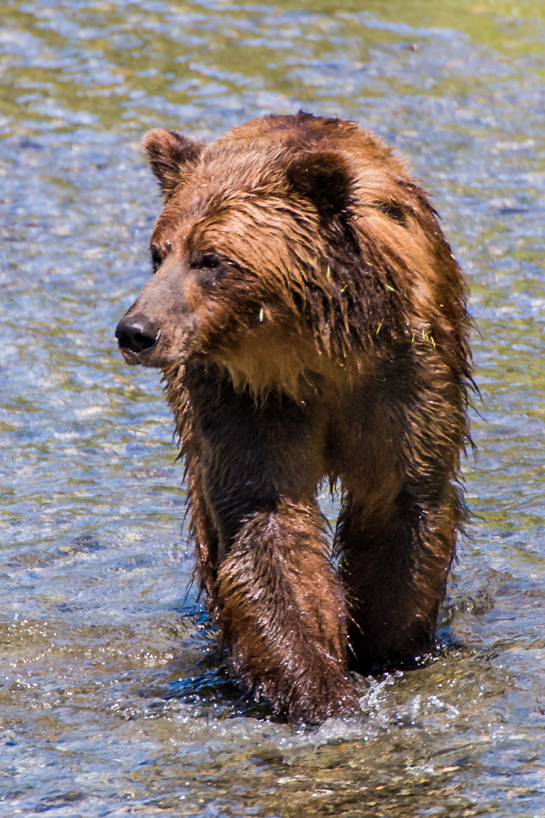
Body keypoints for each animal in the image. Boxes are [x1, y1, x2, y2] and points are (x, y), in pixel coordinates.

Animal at [115, 113, 471, 724]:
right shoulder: (246, 397)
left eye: (210, 258)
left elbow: (401, 506)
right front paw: (317, 687)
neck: (315, 356)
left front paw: (383, 649)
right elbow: (267, 522)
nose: (136, 330)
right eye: (158, 253)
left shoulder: (403, 376)